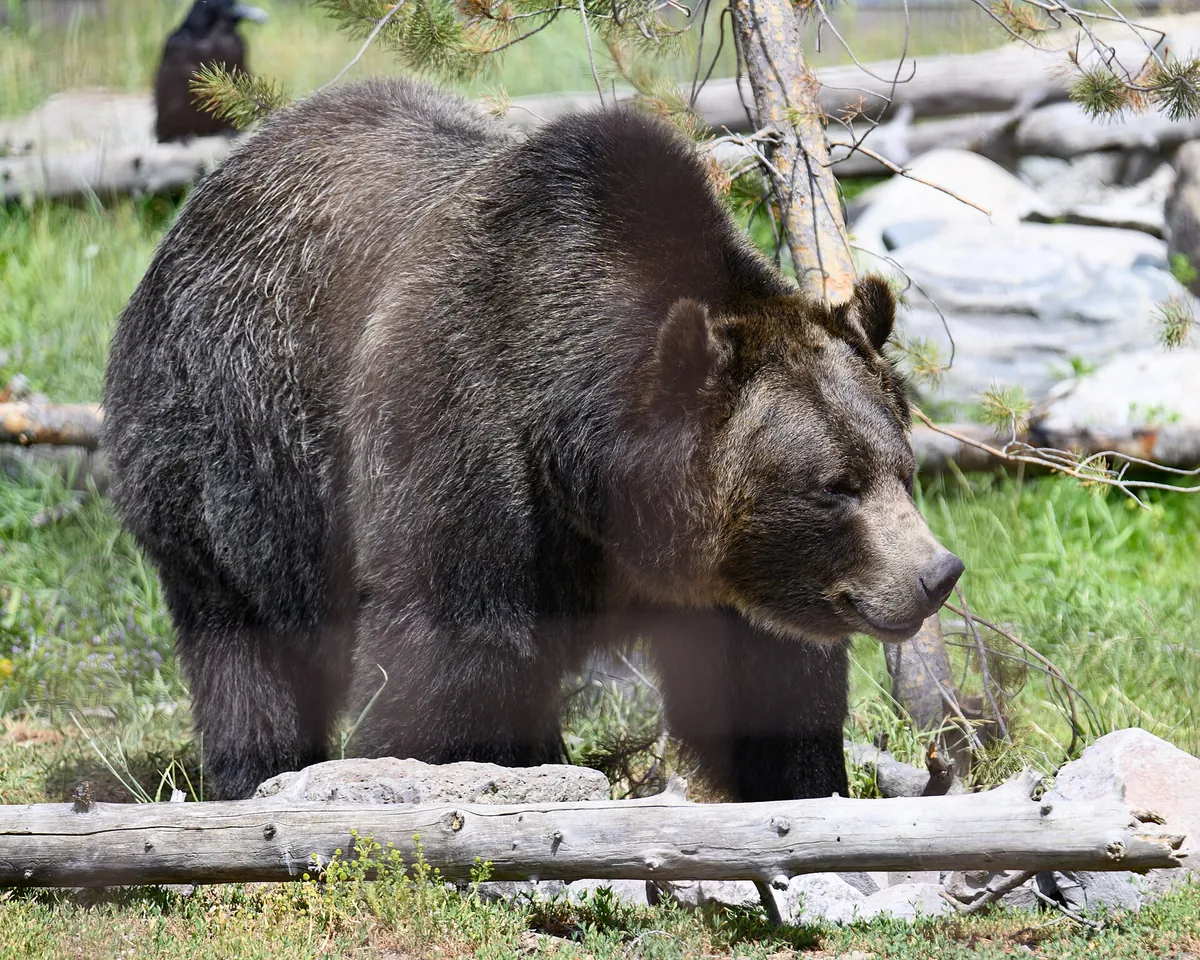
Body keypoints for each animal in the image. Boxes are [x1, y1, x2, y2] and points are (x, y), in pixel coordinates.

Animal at [102, 78, 964, 802]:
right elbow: (457, 657)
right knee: (246, 651)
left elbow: (770, 683)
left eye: (899, 469)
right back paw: (256, 773)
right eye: (834, 485)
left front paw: (805, 786)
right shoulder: (466, 438)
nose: (935, 574)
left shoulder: (716, 581)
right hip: (228, 456)